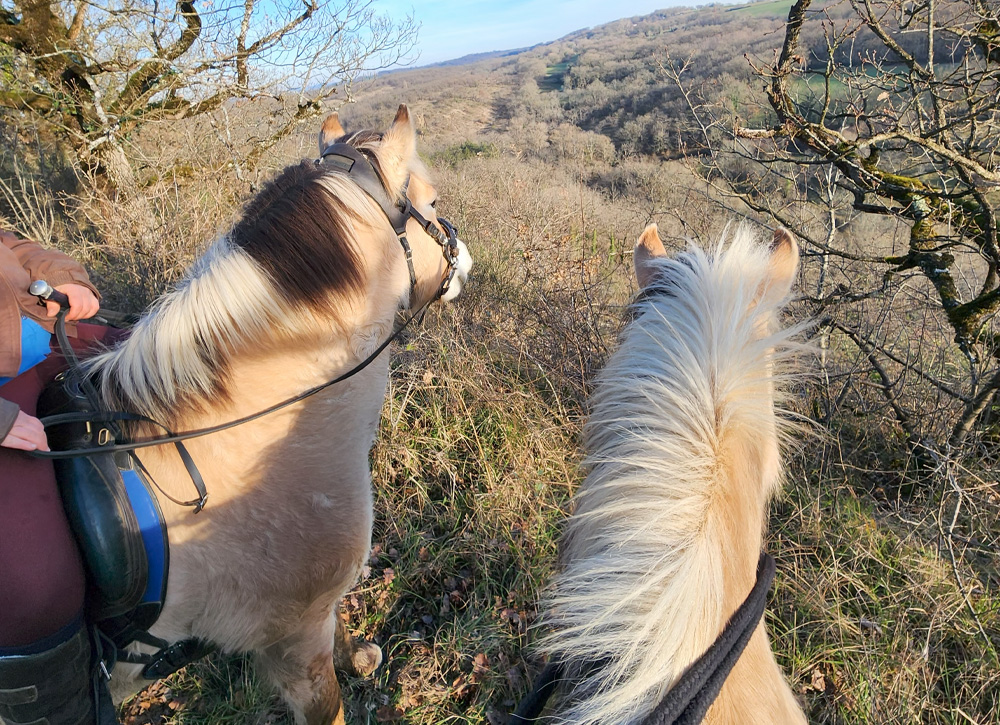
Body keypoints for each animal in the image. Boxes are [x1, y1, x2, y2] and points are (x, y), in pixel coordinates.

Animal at [83, 104, 472, 724]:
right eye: (431, 202)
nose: (467, 264)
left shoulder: (309, 621)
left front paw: (358, 656)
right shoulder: (293, 641)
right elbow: (327, 702)